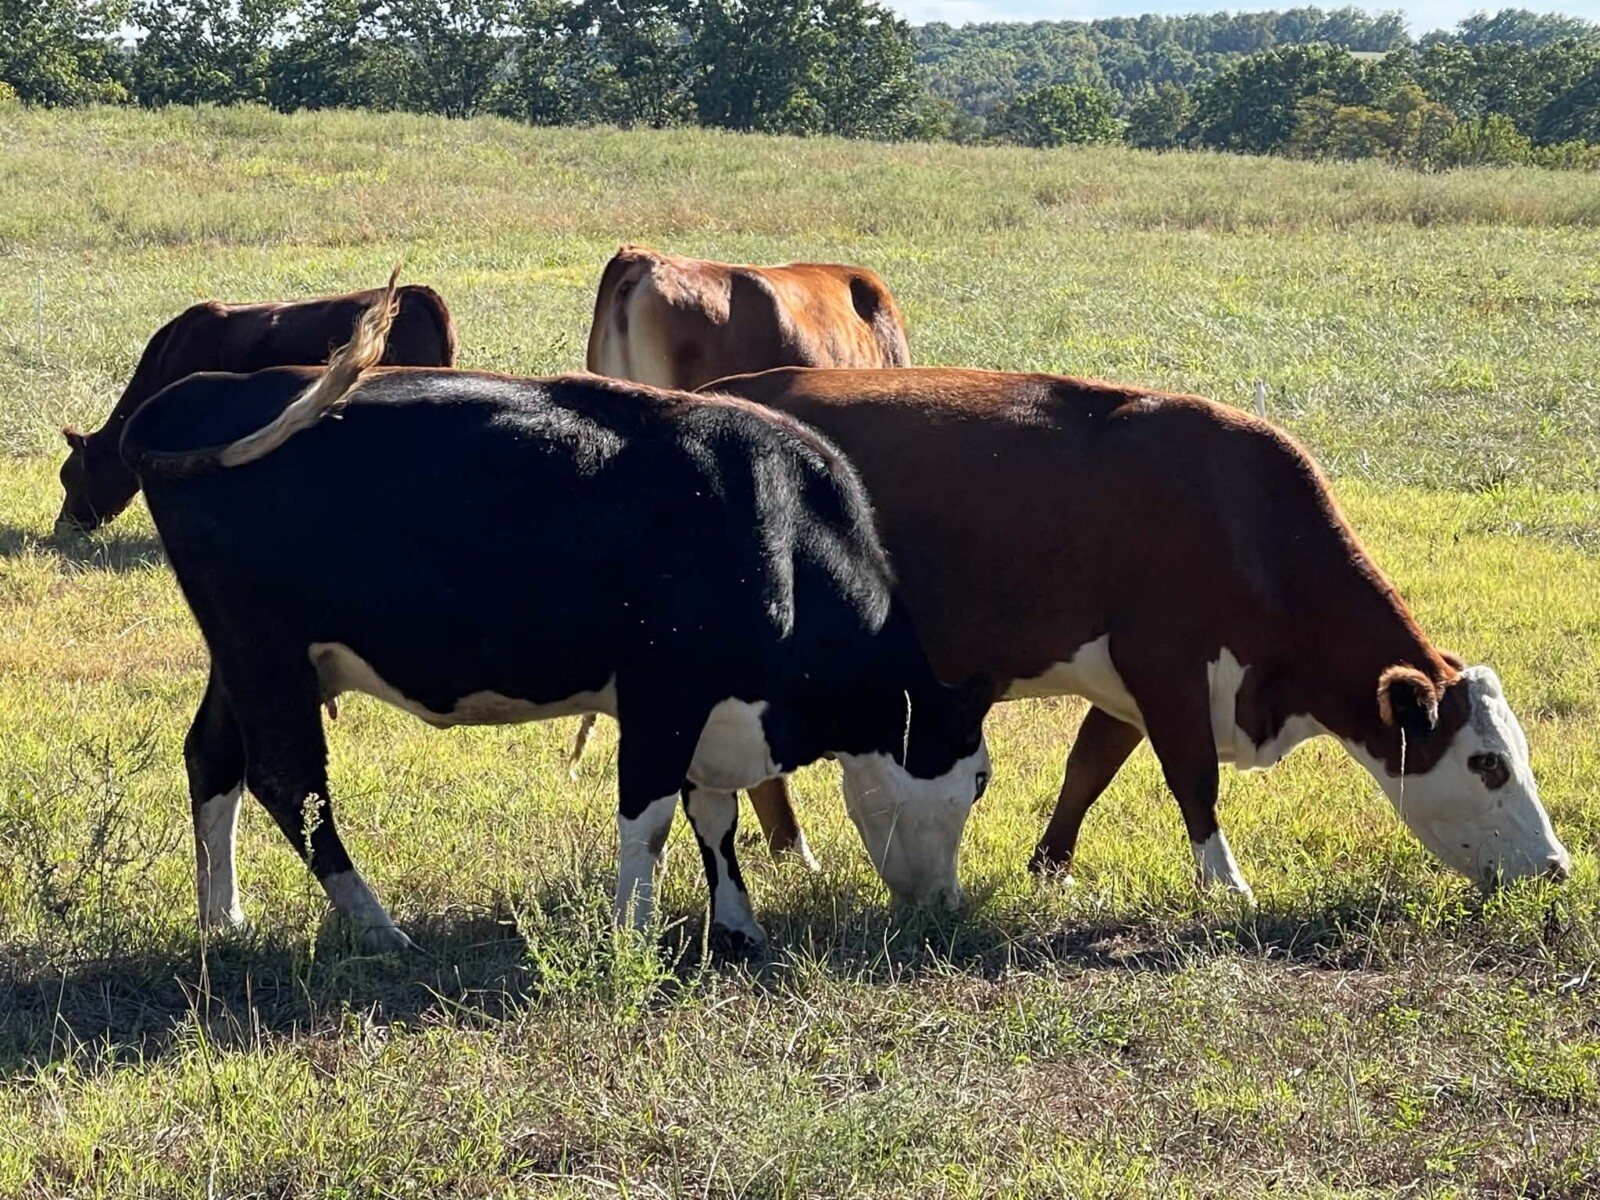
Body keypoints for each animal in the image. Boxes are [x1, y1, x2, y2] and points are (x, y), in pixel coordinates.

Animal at [699, 367, 1570, 898]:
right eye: (1487, 764)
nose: (1558, 866)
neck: (1240, 517)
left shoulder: (1126, 683)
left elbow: (1089, 769)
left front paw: (1049, 869)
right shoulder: (1165, 664)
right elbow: (1193, 778)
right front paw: (1227, 885)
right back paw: (796, 853)